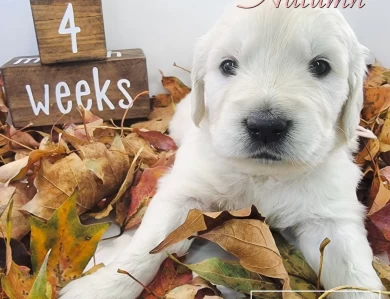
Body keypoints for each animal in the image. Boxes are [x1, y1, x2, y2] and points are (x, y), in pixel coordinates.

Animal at [60, 2, 384, 299]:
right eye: (228, 65)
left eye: (320, 66)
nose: (266, 126)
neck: (261, 175)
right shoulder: (184, 193)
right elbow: (146, 246)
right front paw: (98, 288)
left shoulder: (332, 216)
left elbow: (355, 277)